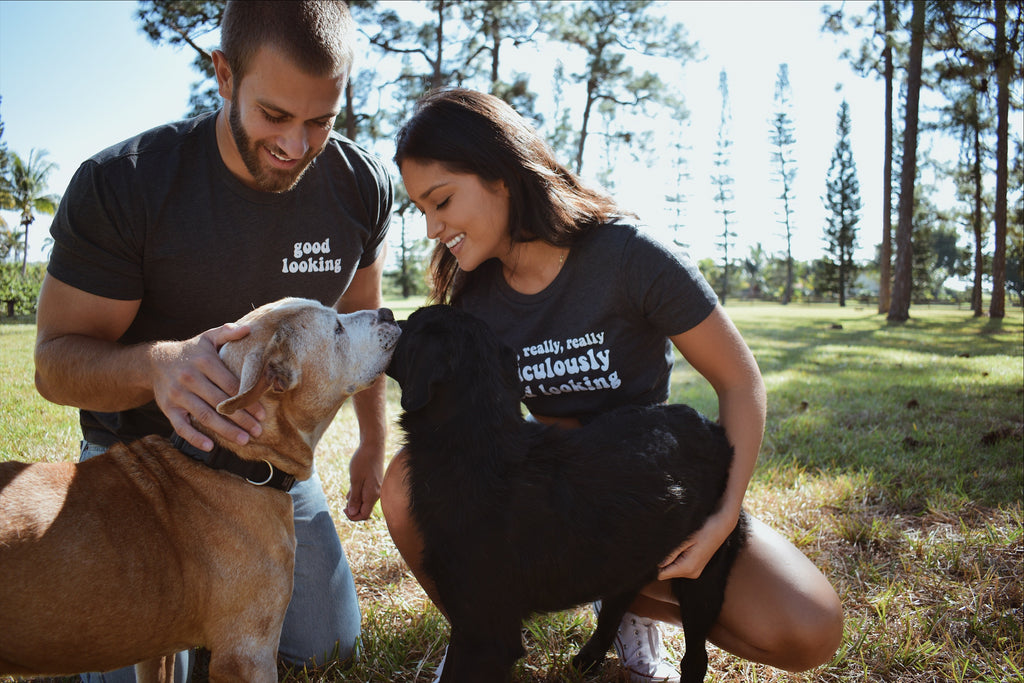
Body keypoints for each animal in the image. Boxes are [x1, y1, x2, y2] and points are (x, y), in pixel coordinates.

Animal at [387, 305, 749, 683]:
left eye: (411, 322)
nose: (387, 315)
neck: (478, 448)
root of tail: (713, 428)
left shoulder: (487, 634)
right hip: (631, 559)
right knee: (614, 610)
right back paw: (588, 659)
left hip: (703, 573)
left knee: (696, 657)